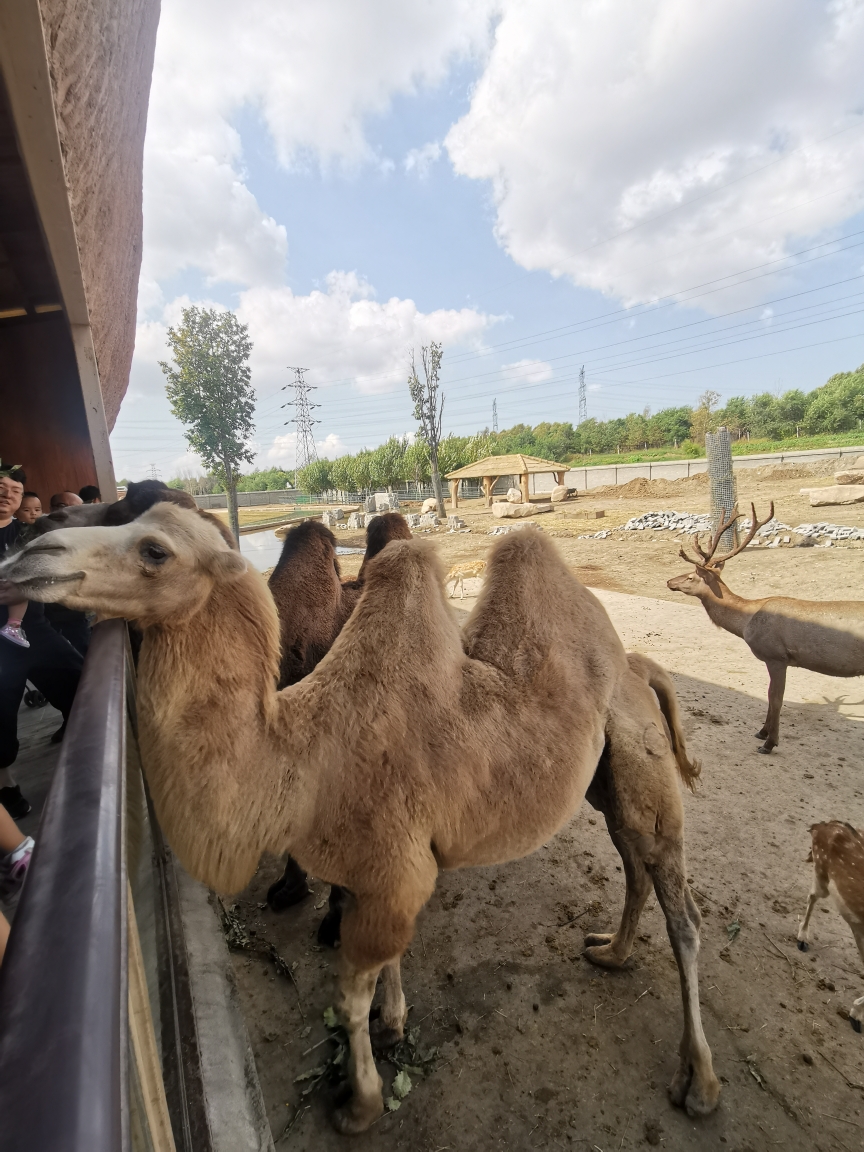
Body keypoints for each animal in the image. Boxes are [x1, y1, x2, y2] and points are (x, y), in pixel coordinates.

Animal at [668, 499, 864, 751]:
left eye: (691, 576)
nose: (669, 581)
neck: (746, 623)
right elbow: (771, 696)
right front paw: (762, 732)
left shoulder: (776, 656)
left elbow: (775, 698)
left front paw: (770, 742)